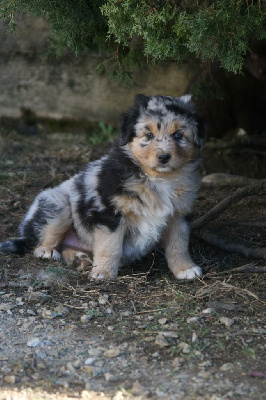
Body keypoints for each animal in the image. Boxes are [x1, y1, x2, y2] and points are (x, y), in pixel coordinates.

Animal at [0, 95, 206, 280]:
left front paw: (185, 269)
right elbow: (110, 246)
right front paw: (104, 273)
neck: (157, 179)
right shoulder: (109, 213)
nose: (164, 157)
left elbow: (178, 245)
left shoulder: (179, 215)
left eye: (178, 135)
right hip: (57, 204)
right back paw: (47, 251)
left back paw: (79, 259)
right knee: (41, 240)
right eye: (148, 135)